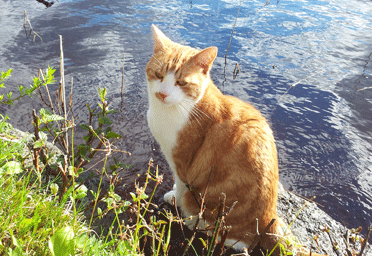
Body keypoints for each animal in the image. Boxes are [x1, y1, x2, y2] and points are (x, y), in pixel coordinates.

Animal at [145, 24, 326, 256]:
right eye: (158, 74)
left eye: (181, 82)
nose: (163, 94)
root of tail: (269, 217)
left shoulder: (181, 163)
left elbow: (181, 186)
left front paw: (175, 198)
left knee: (237, 240)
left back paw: (195, 222)